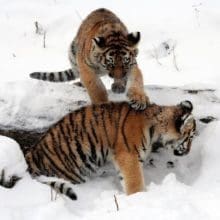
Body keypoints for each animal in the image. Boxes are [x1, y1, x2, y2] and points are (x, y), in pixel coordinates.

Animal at [0, 100, 196, 200]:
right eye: (191, 137)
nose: (188, 152)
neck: (155, 127)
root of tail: (29, 158)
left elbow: (125, 179)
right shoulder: (129, 156)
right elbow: (135, 181)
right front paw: (139, 198)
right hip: (72, 173)